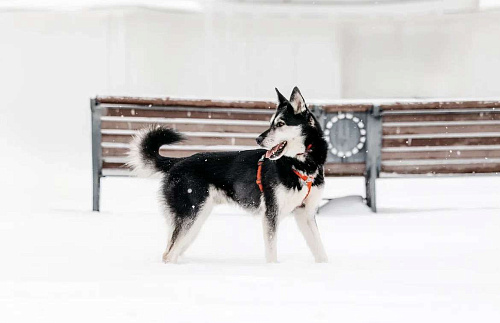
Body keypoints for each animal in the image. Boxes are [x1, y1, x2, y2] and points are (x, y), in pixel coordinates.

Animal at [131, 88, 330, 264]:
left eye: (280, 124)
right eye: (271, 123)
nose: (258, 139)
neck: (301, 165)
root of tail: (178, 161)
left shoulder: (306, 214)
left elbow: (320, 250)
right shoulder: (271, 215)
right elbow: (272, 253)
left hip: (195, 220)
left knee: (170, 249)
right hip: (192, 216)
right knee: (169, 254)